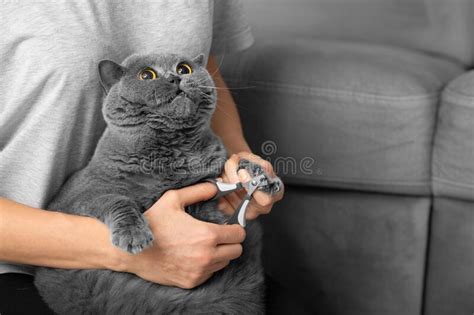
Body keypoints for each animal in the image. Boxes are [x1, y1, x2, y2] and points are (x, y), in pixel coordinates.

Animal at [35, 53, 284, 314]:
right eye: (147, 75)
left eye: (184, 69)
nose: (175, 77)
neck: (175, 150)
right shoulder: (79, 195)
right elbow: (117, 199)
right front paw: (134, 235)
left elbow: (233, 164)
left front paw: (265, 177)